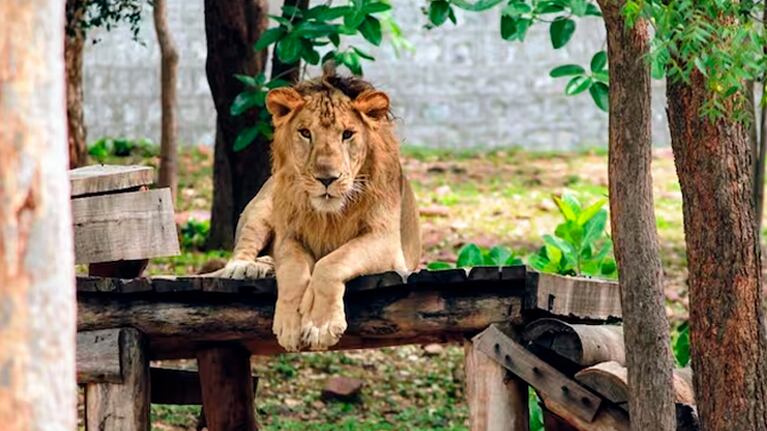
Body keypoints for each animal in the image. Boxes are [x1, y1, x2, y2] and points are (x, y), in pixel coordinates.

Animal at [211, 66, 421, 352]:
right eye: (305, 133)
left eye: (347, 134)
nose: (327, 178)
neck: (329, 215)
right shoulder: (289, 237)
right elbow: (294, 272)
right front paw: (289, 325)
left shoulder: (385, 241)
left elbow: (331, 263)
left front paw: (321, 326)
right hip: (260, 209)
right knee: (244, 246)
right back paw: (246, 267)